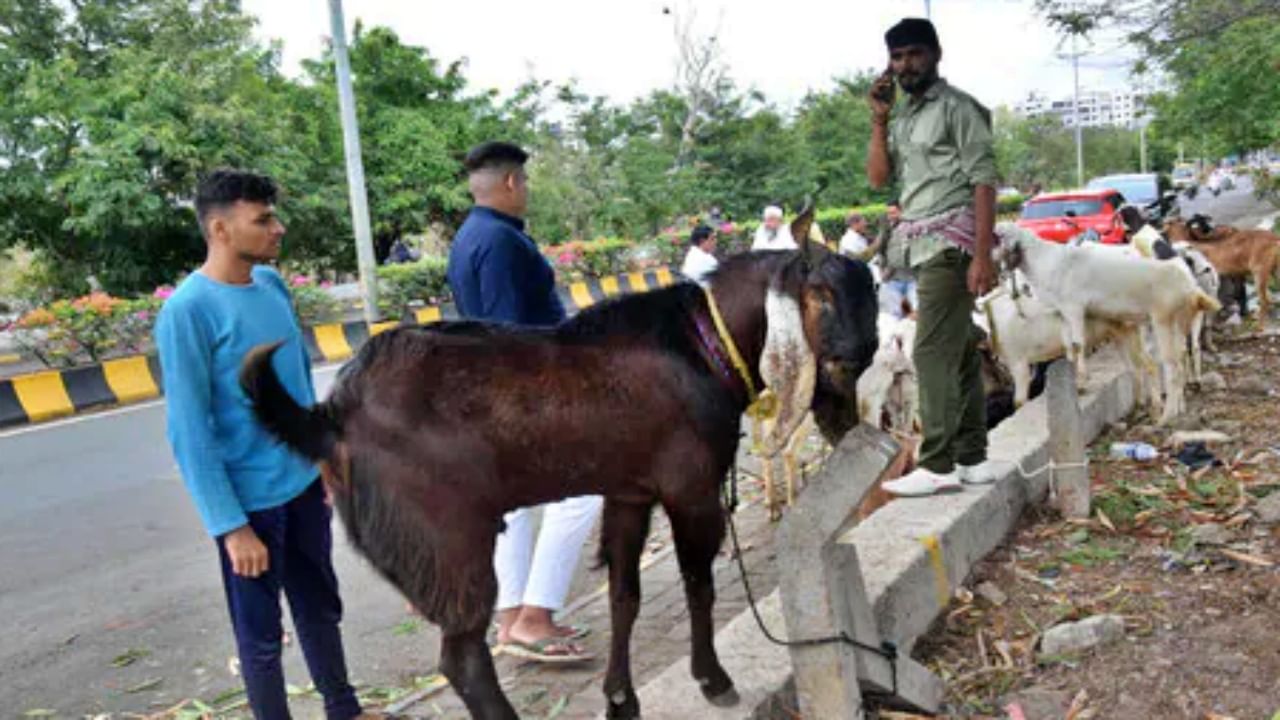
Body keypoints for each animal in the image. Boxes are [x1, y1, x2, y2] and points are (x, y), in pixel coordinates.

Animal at [238, 222, 880, 712]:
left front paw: (620, 697)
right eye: (821, 293)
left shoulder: (629, 492)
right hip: (451, 542)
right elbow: (699, 586)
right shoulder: (691, 490)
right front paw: (712, 679)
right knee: (462, 657)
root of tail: (331, 414)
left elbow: (625, 595)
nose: (857, 354)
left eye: (870, 293)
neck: (702, 344)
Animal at [998, 224, 1218, 422]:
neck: (1050, 261)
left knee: (1171, 363)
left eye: (1003, 240)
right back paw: (1180, 403)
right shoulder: (1064, 313)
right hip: (1179, 323)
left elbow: (1078, 344)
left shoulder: (1074, 307)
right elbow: (1069, 346)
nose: (1011, 291)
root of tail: (1191, 286)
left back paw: (1167, 414)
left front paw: (1081, 383)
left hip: (1163, 321)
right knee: (1183, 353)